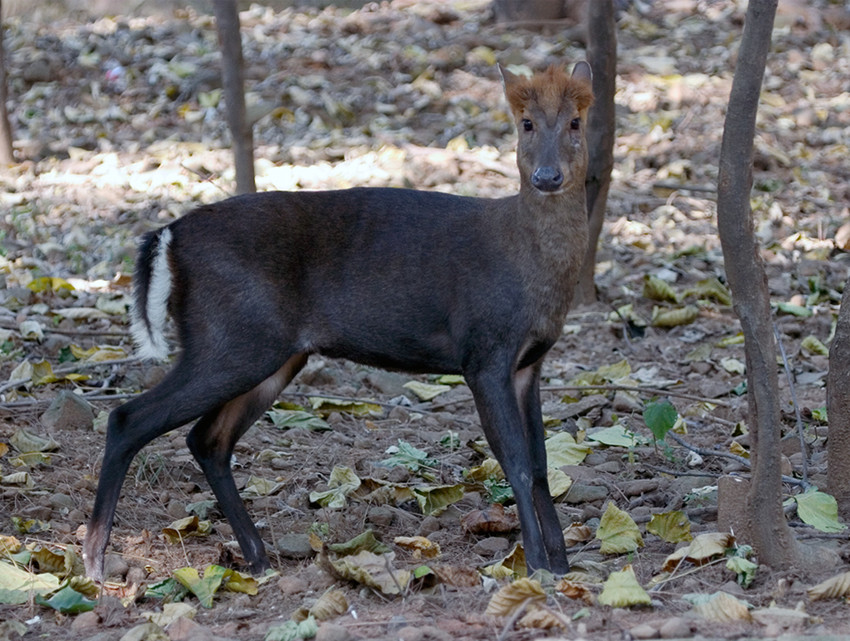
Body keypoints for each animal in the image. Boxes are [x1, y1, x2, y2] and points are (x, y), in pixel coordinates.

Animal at [83, 61, 594, 582]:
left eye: (575, 121)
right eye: (526, 123)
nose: (547, 176)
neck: (530, 267)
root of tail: (168, 235)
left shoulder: (529, 363)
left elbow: (542, 462)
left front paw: (563, 562)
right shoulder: (485, 350)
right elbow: (515, 461)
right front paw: (535, 565)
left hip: (271, 352)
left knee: (207, 439)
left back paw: (256, 557)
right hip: (230, 338)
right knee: (128, 418)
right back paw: (95, 562)